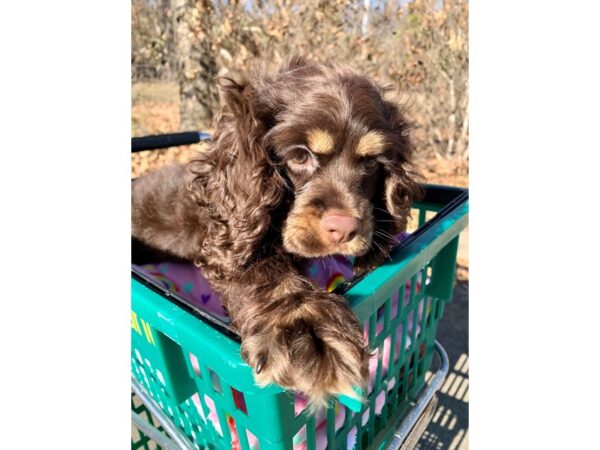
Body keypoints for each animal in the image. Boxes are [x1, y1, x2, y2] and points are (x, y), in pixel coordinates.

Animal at [131, 55, 422, 408]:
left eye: (370, 163)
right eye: (299, 156)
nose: (344, 229)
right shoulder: (225, 244)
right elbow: (259, 270)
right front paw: (304, 326)